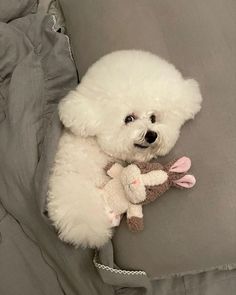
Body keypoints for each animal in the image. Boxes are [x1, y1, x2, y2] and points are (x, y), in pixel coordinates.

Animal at [47, 49, 202, 249]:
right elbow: (83, 217)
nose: (151, 135)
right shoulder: (72, 183)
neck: (98, 148)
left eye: (153, 118)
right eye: (129, 118)